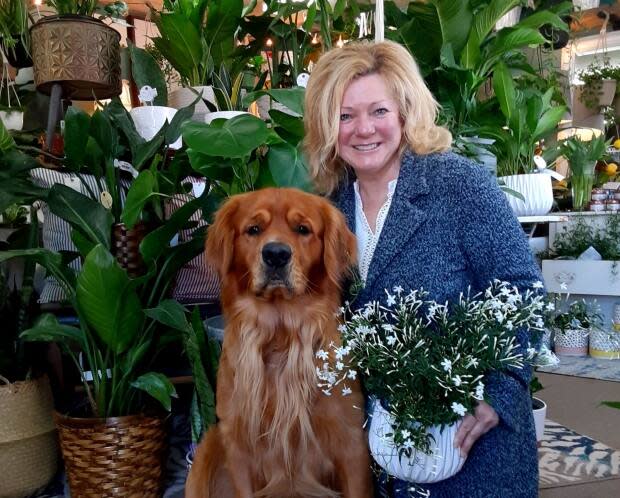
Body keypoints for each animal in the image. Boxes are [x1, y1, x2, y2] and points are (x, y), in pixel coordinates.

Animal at [185, 188, 372, 498]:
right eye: (253, 229)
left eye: (303, 229)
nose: (275, 254)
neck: (280, 336)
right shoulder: (239, 447)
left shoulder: (351, 442)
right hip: (207, 448)